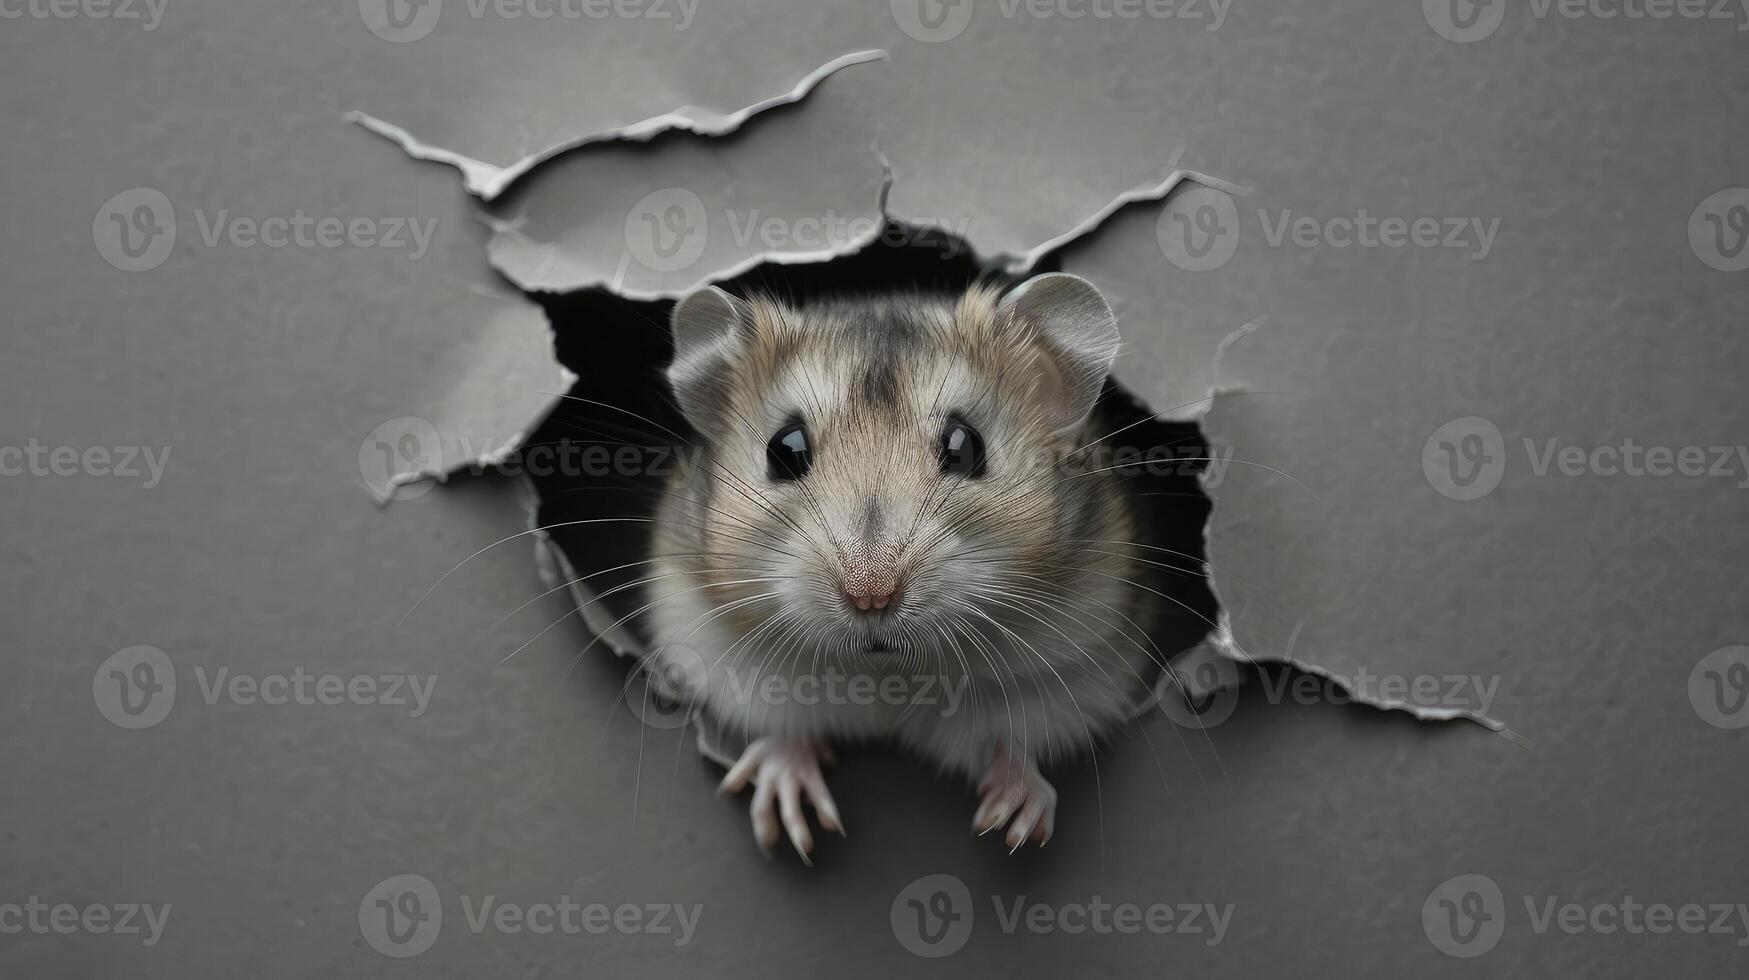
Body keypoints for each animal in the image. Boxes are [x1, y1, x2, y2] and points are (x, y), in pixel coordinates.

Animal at [643, 273, 1161, 857]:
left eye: (965, 446)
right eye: (784, 448)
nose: (871, 594)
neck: (885, 671)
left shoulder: (1074, 670)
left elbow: (1013, 740)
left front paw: (1013, 824)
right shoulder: (718, 649)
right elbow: (784, 729)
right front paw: (791, 826)